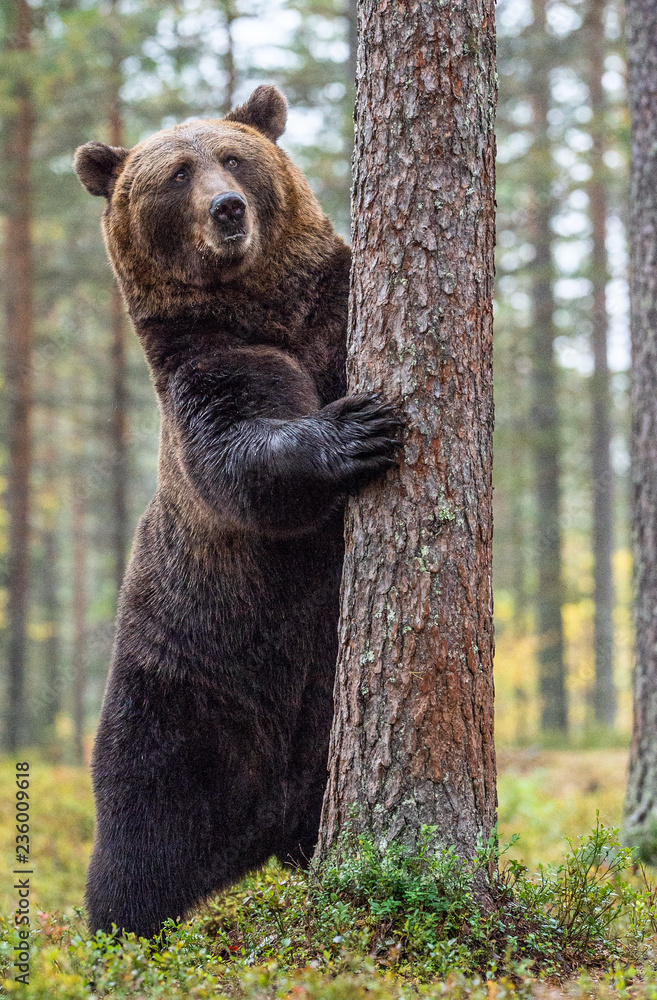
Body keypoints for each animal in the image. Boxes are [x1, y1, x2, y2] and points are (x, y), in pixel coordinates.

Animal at [73, 85, 402, 939]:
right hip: (179, 686)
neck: (264, 308)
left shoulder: (330, 311)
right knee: (140, 830)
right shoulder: (206, 357)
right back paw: (117, 931)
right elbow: (238, 455)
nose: (227, 210)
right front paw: (353, 429)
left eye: (234, 156)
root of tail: (264, 824)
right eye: (176, 172)